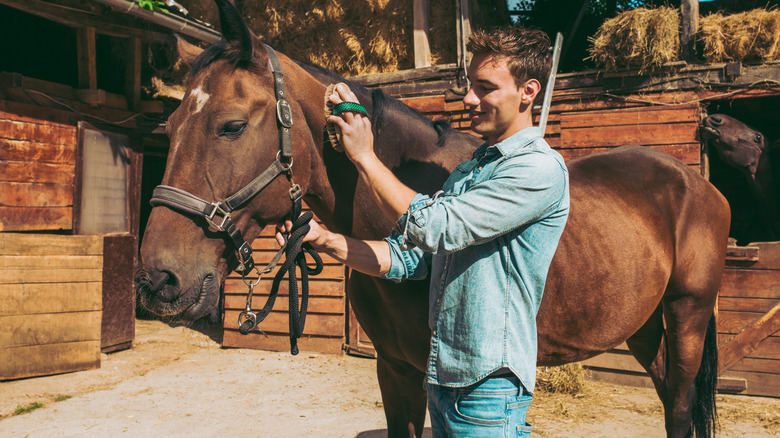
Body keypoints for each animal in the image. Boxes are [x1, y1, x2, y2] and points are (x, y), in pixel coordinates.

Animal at [139, 1, 732, 436]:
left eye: (232, 125)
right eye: (170, 127)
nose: (157, 279)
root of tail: (697, 185)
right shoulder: (395, 370)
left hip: (686, 317)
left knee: (680, 409)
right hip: (645, 327)